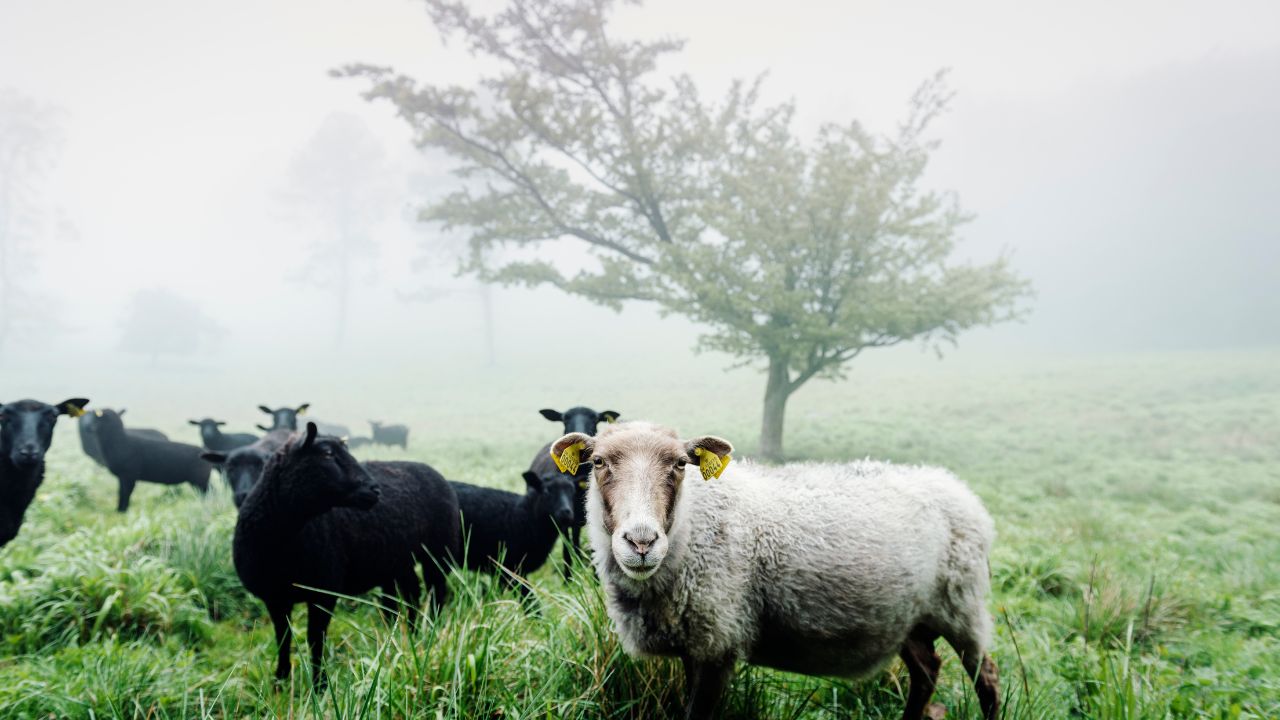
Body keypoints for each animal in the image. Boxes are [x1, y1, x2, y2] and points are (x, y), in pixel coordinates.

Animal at [234, 423, 461, 689]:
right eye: (327, 454)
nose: (375, 490)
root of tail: (433, 471)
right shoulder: (275, 597)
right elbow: (283, 637)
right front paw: (280, 680)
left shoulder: (324, 590)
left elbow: (315, 638)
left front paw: (319, 685)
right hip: (399, 559)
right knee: (413, 594)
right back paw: (411, 636)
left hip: (439, 552)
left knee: (436, 594)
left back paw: (431, 633)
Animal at [531, 406, 620, 576]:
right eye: (564, 419)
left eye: (595, 419)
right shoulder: (563, 519)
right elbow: (566, 551)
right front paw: (568, 578)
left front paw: (596, 578)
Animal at [552, 421, 1000, 720]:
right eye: (598, 462)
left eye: (680, 464)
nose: (641, 542)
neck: (692, 527)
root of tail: (960, 489)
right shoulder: (693, 641)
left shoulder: (718, 639)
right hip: (910, 616)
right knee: (926, 672)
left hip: (961, 605)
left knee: (987, 678)